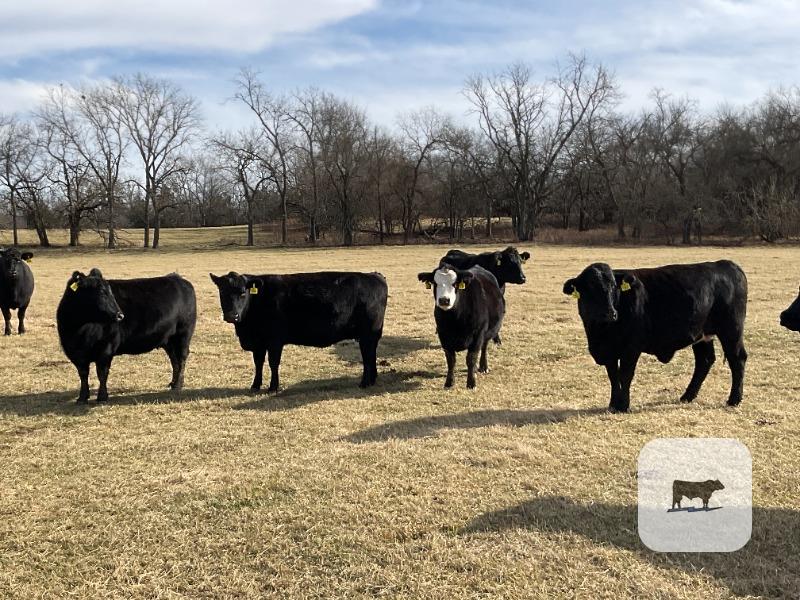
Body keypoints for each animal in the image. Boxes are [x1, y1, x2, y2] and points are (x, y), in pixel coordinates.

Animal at [56, 269, 197, 403]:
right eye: (101, 292)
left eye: (110, 292)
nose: (120, 315)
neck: (79, 331)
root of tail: (177, 278)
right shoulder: (75, 354)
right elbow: (83, 375)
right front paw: (82, 397)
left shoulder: (106, 349)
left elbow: (102, 373)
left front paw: (102, 396)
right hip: (168, 340)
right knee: (174, 359)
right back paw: (173, 383)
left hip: (183, 335)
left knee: (182, 358)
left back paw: (178, 384)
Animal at [209, 271, 387, 391]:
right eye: (222, 292)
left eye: (242, 292)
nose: (232, 315)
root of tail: (374, 275)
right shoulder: (259, 342)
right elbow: (258, 363)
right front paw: (255, 385)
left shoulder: (275, 340)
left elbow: (273, 363)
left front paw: (273, 387)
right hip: (371, 336)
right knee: (371, 355)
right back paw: (372, 380)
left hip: (367, 334)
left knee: (367, 357)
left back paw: (364, 383)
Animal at [562, 260, 748, 412]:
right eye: (590, 288)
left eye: (614, 287)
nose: (610, 313)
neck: (600, 332)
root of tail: (727, 264)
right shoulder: (609, 352)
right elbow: (613, 376)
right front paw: (613, 404)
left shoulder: (631, 348)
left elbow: (625, 375)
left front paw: (623, 405)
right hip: (701, 334)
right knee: (705, 361)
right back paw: (687, 396)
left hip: (731, 330)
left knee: (737, 359)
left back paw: (734, 400)